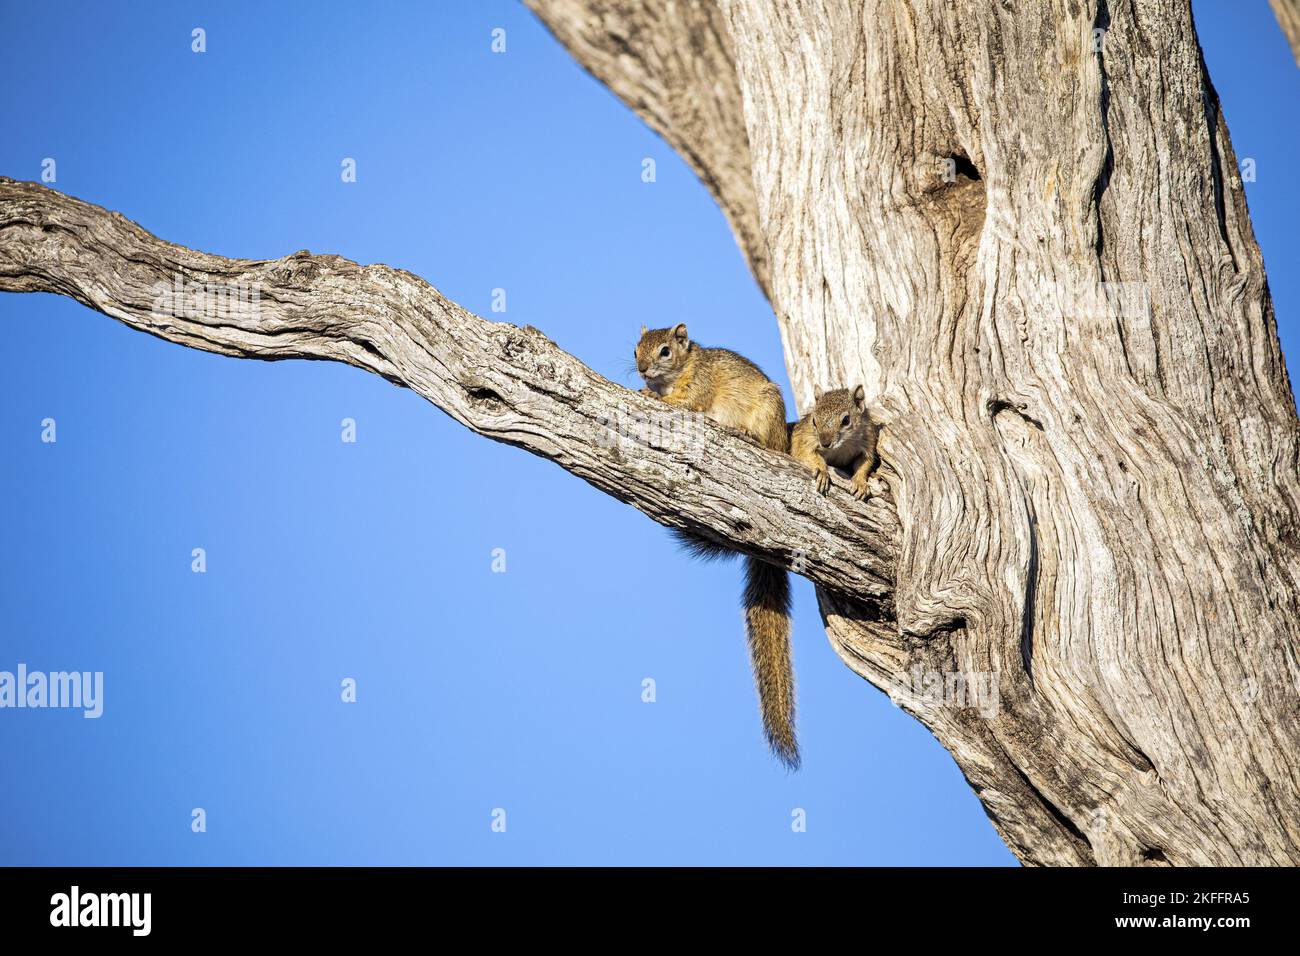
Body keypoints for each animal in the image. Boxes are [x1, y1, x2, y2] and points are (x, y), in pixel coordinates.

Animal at [635, 323, 799, 769]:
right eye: (635, 349)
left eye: (665, 351)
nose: (641, 370)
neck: (686, 365)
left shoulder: (700, 386)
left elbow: (687, 402)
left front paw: (653, 397)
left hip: (767, 412)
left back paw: (747, 434)